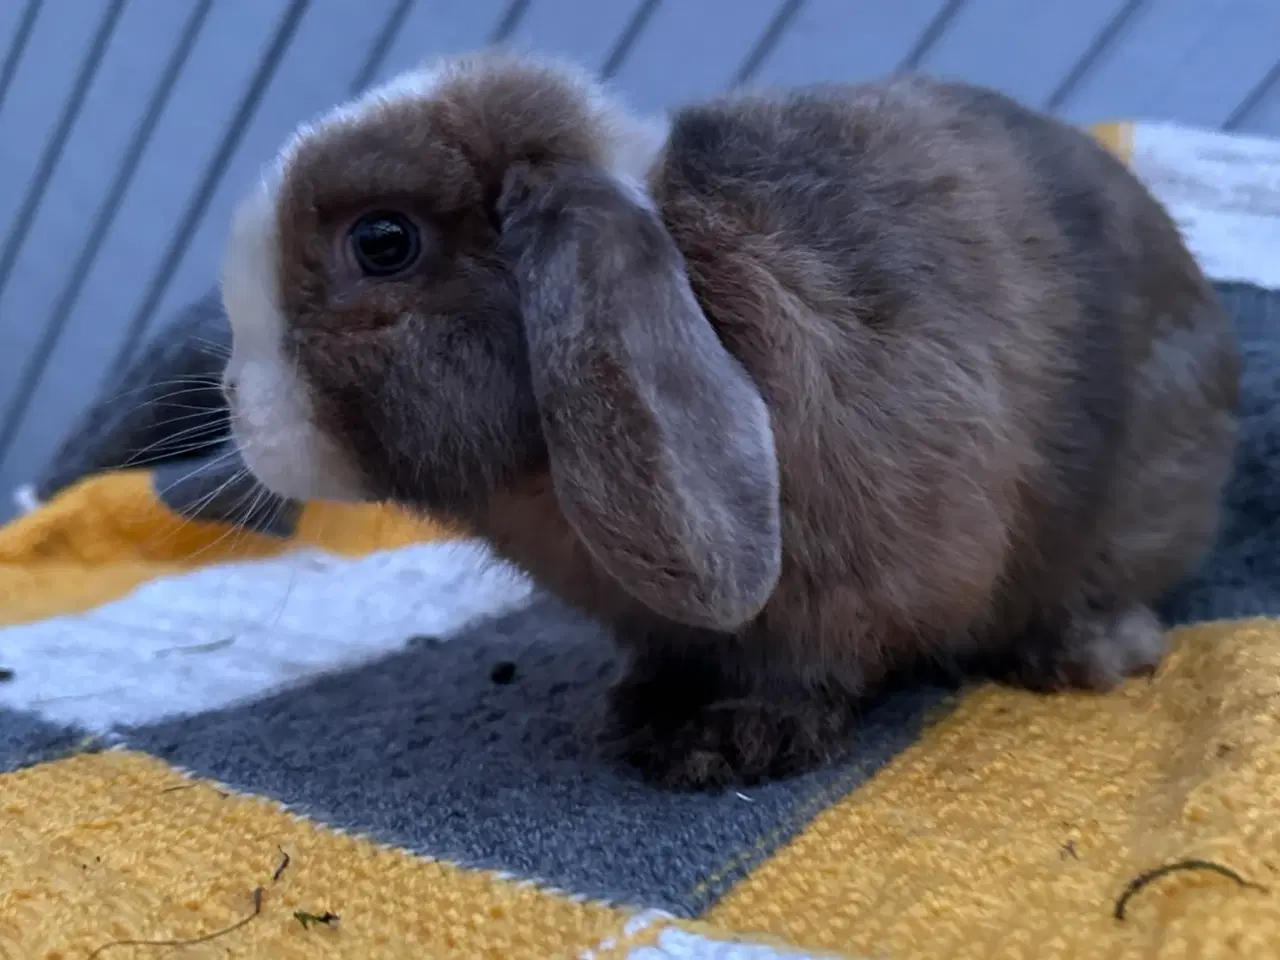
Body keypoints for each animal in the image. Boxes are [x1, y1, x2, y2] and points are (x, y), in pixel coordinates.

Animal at [220, 48, 1239, 788]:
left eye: (383, 241)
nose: (234, 400)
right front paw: (634, 710)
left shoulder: (844, 593)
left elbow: (806, 671)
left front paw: (723, 745)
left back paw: (1083, 653)